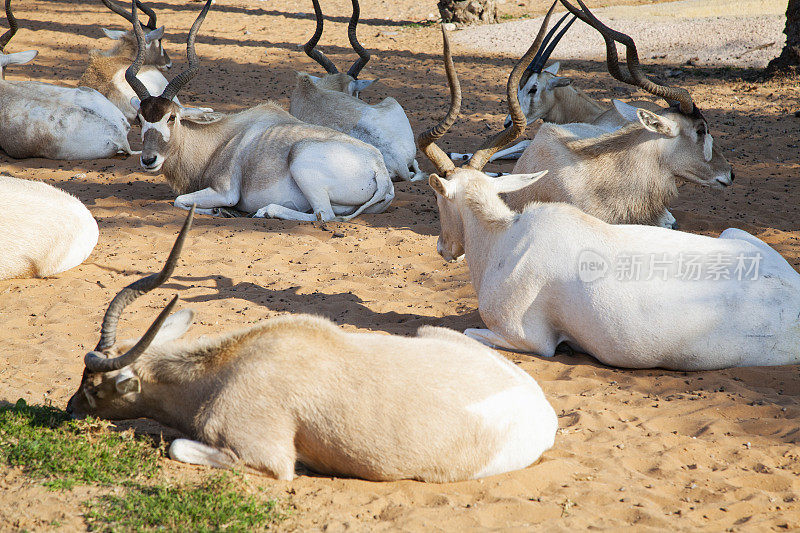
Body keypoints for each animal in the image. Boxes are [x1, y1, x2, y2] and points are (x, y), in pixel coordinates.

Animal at [67, 209, 556, 482]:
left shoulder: (264, 457)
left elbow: (178, 447)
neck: (223, 371)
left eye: (93, 386)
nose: (69, 409)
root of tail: (543, 412)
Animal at [126, 0, 396, 220]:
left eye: (171, 117)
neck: (216, 141)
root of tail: (378, 168)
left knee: (324, 215)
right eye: (140, 119)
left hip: (301, 162)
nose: (148, 159)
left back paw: (266, 211)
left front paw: (221, 210)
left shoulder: (225, 192)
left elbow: (180, 200)